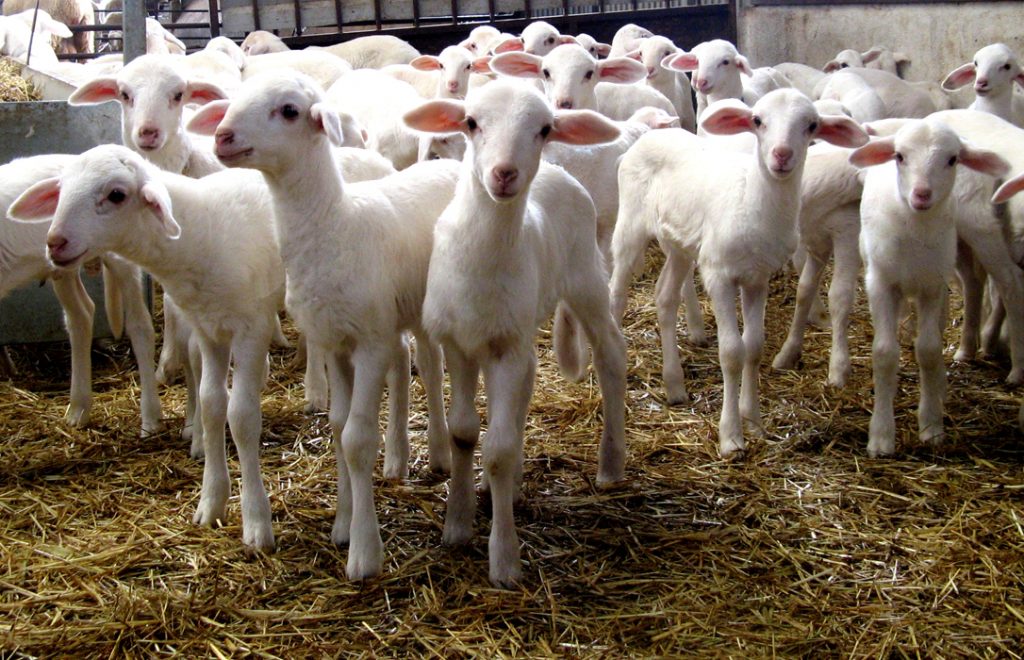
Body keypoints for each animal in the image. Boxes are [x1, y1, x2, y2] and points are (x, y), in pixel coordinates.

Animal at [0, 154, 161, 436]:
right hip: (62, 266)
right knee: (81, 316)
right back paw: (78, 409)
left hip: (119, 257)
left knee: (139, 325)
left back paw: (150, 418)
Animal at [187, 69, 459, 580]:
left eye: (290, 110)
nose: (222, 136)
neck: (336, 225)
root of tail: (451, 167)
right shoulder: (333, 340)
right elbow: (336, 427)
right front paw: (344, 524)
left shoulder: (368, 342)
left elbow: (357, 437)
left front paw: (365, 553)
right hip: (405, 310)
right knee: (421, 362)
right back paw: (418, 454)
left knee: (435, 369)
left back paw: (441, 451)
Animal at [403, 79, 627, 587]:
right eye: (470, 122)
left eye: (544, 129)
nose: (505, 174)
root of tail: (558, 174)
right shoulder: (461, 344)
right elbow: (465, 434)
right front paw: (457, 523)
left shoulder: (507, 348)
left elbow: (499, 448)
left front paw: (504, 559)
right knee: (526, 390)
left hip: (586, 277)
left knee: (611, 354)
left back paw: (610, 462)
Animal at [609, 89, 867, 457]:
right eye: (757, 120)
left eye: (812, 125)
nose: (782, 155)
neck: (753, 203)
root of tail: (651, 135)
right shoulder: (719, 274)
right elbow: (732, 351)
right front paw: (731, 436)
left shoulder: (757, 278)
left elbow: (754, 347)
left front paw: (754, 421)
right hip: (631, 223)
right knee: (616, 292)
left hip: (679, 242)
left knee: (665, 297)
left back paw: (675, 385)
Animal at [849, 118, 1009, 457]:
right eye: (899, 156)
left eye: (952, 159)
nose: (922, 195)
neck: (915, 228)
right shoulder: (881, 283)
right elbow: (884, 352)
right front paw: (881, 437)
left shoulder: (933, 286)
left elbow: (930, 349)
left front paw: (931, 426)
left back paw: (940, 387)